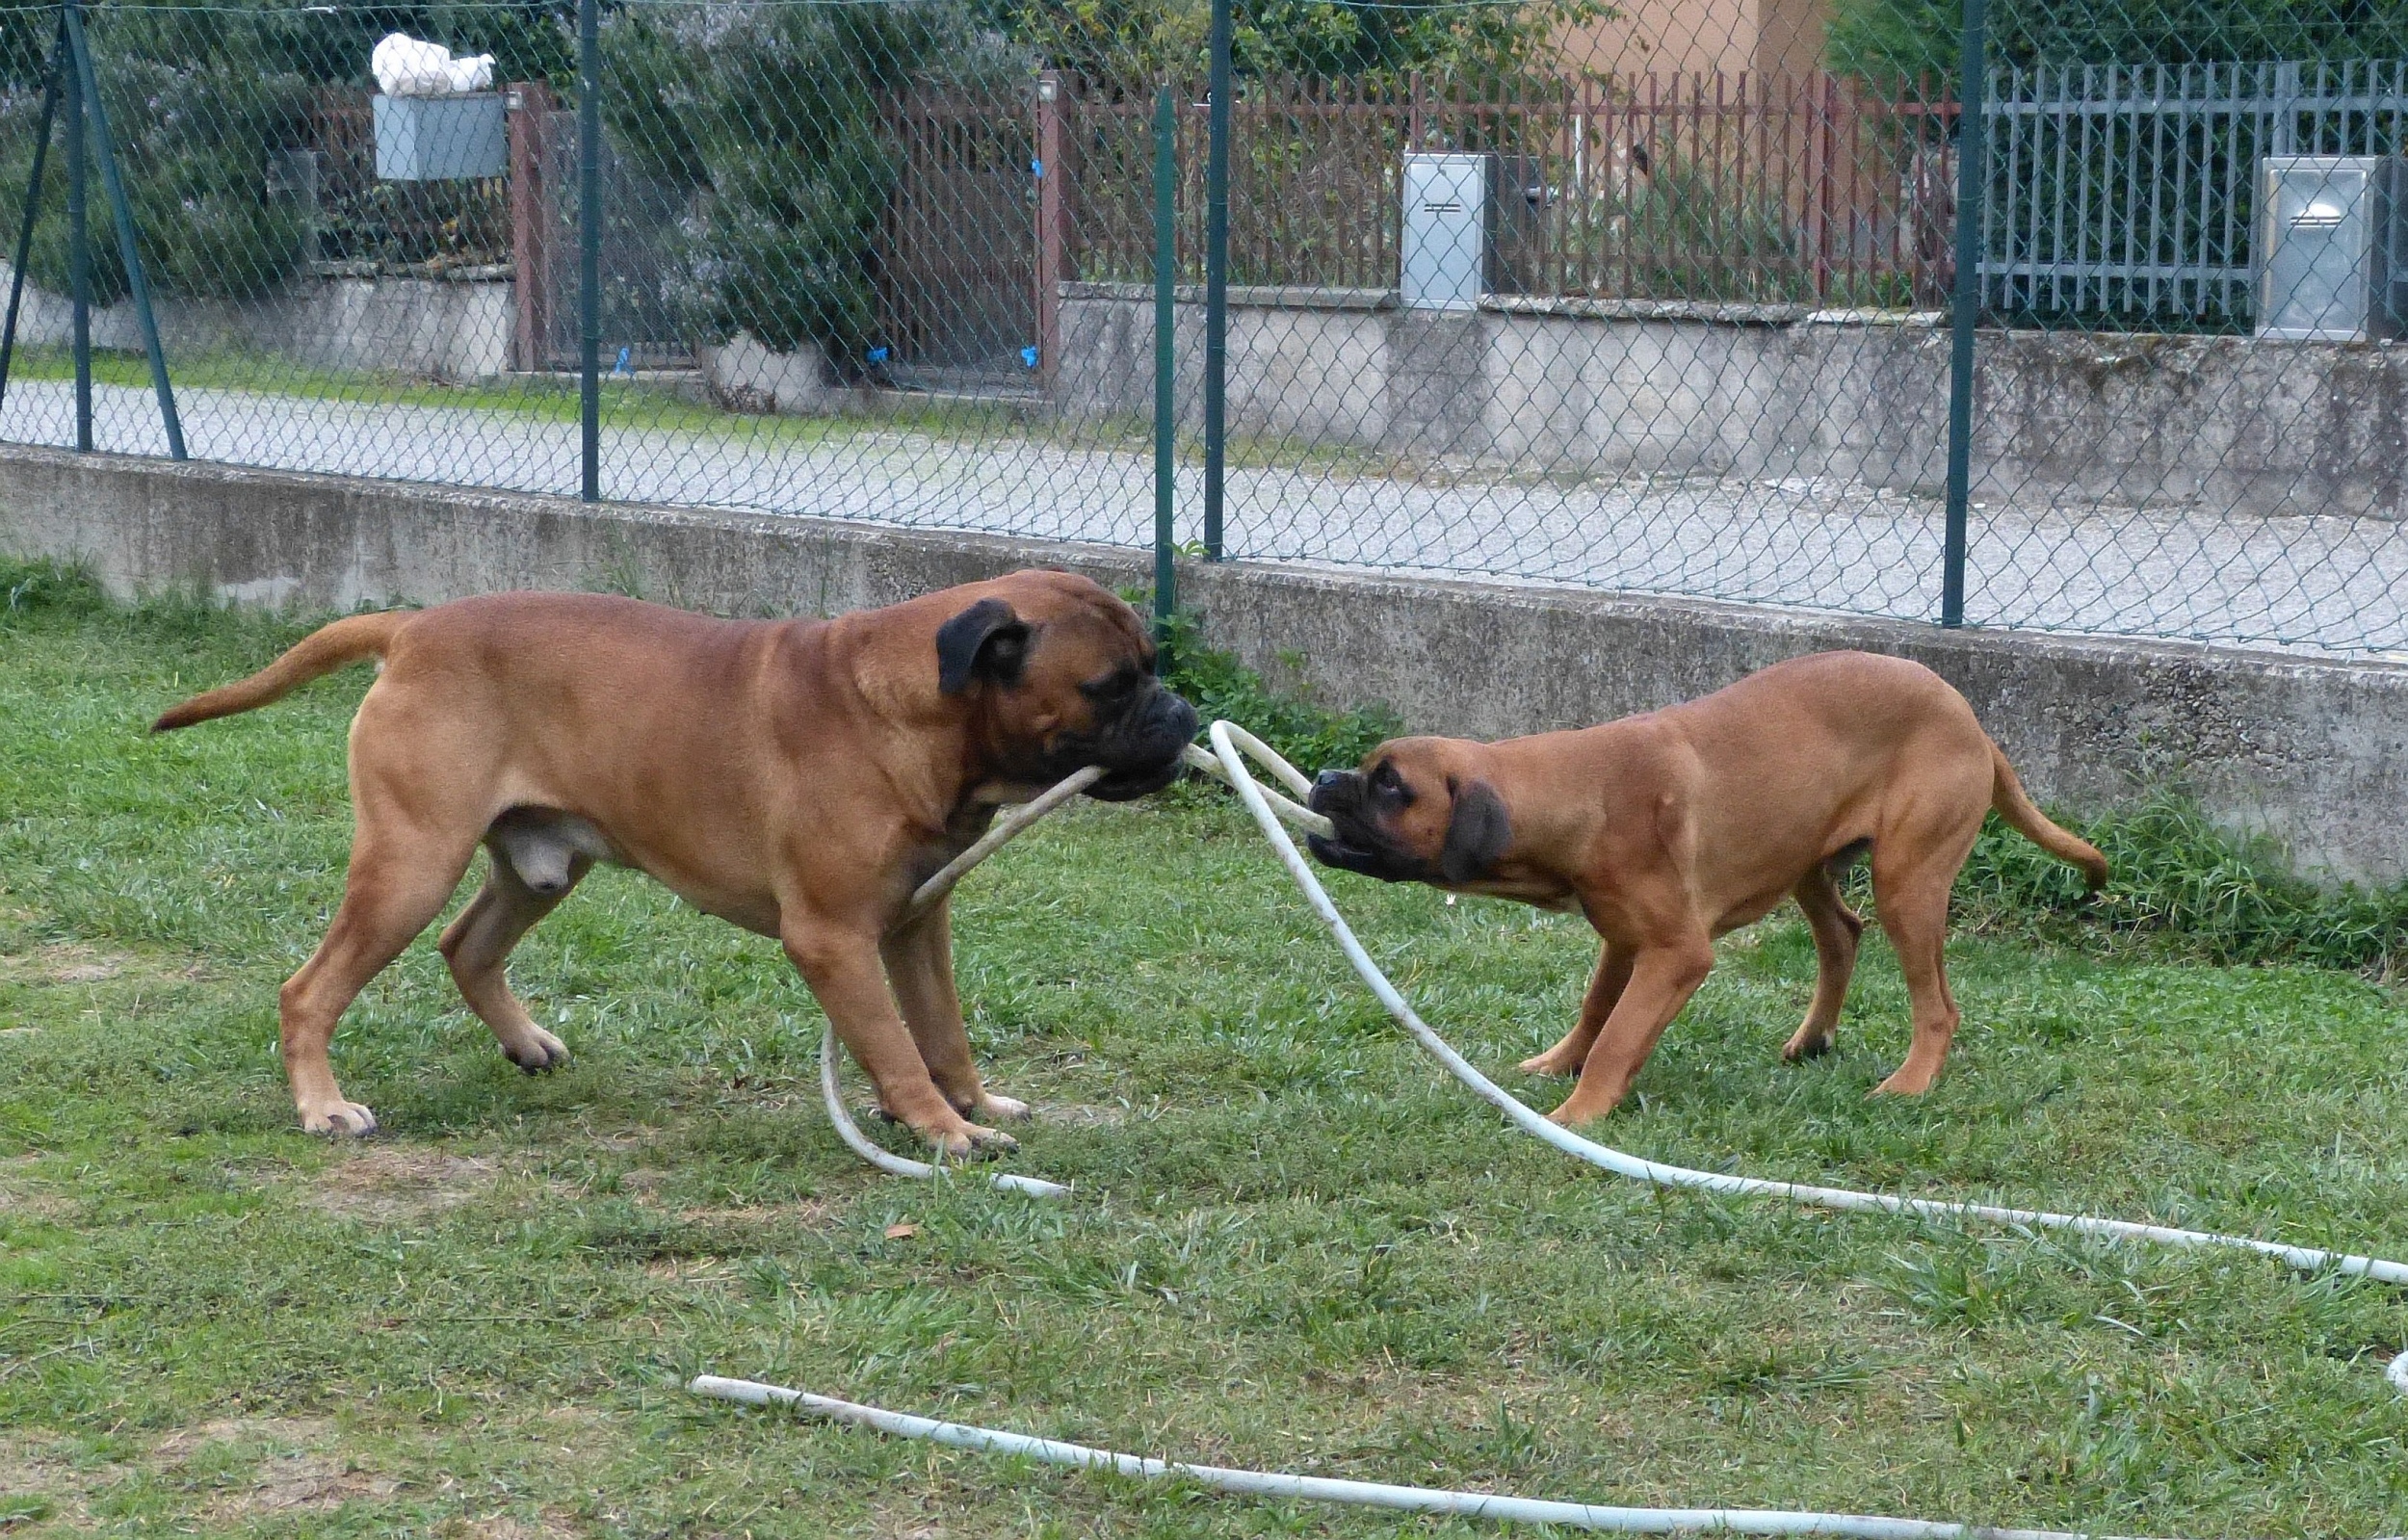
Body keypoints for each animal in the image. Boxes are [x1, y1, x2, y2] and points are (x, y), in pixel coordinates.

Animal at [152, 572, 1198, 1154]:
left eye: (1152, 667)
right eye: (1110, 685)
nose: (1183, 711)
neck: (910, 707)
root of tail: (413, 628)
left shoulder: (915, 925)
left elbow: (942, 1032)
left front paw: (970, 1103)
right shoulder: (832, 941)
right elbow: (897, 1049)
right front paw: (942, 1131)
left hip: (536, 866)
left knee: (466, 947)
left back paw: (525, 1044)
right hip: (409, 864)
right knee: (310, 988)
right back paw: (323, 1108)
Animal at [1304, 652, 2106, 1125]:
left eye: (1390, 785)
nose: (1322, 778)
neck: (1575, 791)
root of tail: (1970, 720)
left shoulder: (1675, 952)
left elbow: (1619, 1034)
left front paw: (1578, 1114)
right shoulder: (1625, 940)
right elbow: (1596, 1011)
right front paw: (1559, 1064)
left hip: (1907, 881)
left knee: (1937, 1003)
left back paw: (1910, 1084)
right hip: (1804, 861)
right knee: (1842, 935)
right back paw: (1813, 1038)